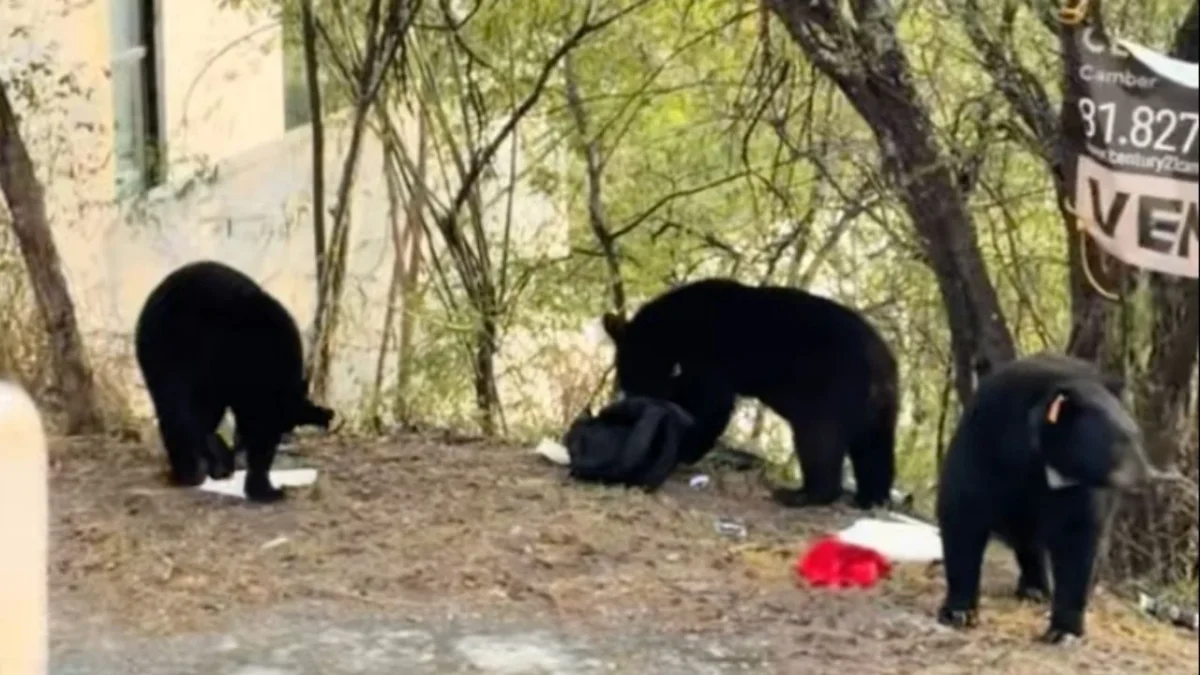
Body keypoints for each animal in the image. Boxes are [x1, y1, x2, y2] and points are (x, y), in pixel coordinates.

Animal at [601, 277, 899, 509]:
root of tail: (880, 361)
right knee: (874, 449)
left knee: (820, 439)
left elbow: (711, 406)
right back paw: (871, 498)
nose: (635, 400)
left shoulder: (709, 358)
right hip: (878, 410)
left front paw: (685, 450)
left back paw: (801, 495)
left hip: (830, 390)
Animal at [935, 352, 1154, 644]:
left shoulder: (1080, 489)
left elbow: (1078, 537)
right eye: (1120, 441)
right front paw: (958, 612)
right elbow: (964, 513)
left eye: (1136, 435)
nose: (1148, 478)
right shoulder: (985, 440)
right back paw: (1034, 588)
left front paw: (1064, 630)